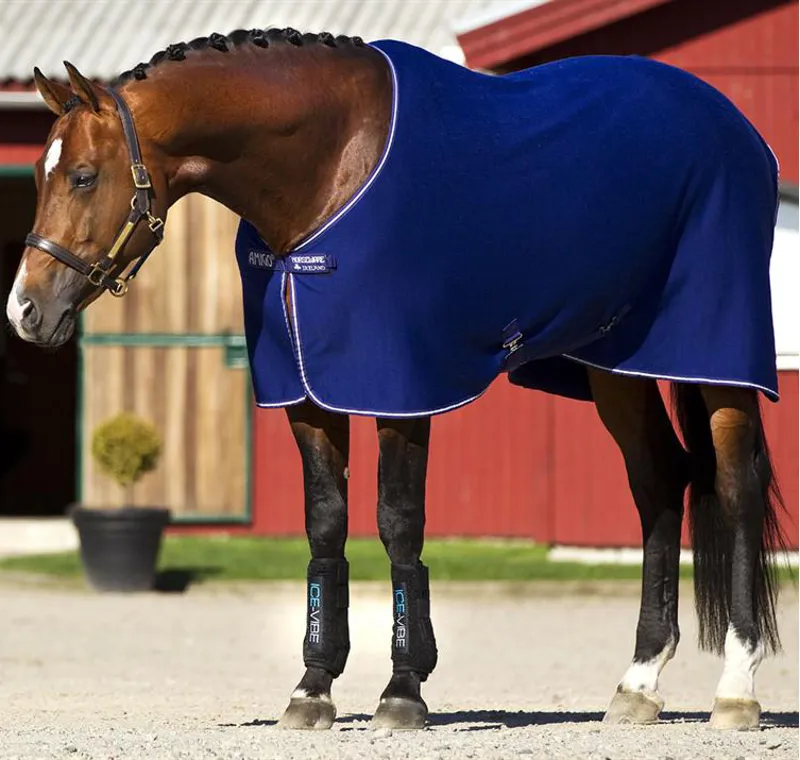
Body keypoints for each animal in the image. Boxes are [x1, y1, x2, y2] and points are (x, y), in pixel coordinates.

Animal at [6, 27, 788, 732]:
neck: (330, 165)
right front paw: (313, 688)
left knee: (735, 489)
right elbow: (325, 525)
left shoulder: (400, 387)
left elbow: (398, 523)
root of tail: (736, 129)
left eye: (82, 175)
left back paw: (736, 690)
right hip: (616, 366)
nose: (24, 310)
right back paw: (638, 684)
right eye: (39, 175)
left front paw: (403, 691)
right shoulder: (309, 392)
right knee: (659, 483)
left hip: (717, 358)